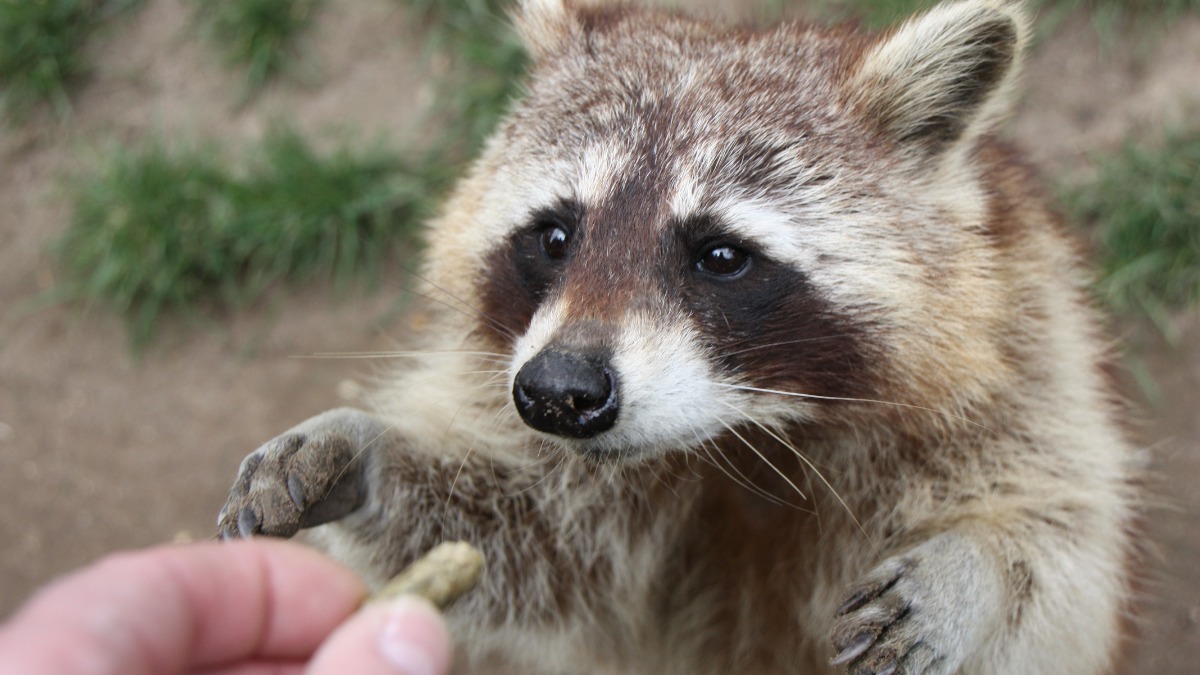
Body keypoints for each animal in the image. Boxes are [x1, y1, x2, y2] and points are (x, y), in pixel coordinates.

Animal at [218, 2, 1142, 667]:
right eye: (556, 236)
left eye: (721, 256)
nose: (556, 394)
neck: (747, 427)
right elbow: (539, 547)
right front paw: (365, 449)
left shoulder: (1028, 343)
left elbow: (1063, 554)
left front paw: (974, 569)